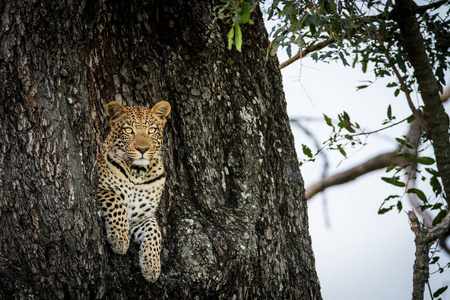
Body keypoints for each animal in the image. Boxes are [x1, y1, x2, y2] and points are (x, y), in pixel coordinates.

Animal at [96, 99, 171, 282]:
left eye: (152, 130)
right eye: (128, 130)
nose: (142, 149)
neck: (138, 173)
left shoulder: (141, 218)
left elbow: (155, 232)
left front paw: (152, 266)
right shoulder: (99, 188)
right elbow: (115, 200)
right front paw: (120, 240)